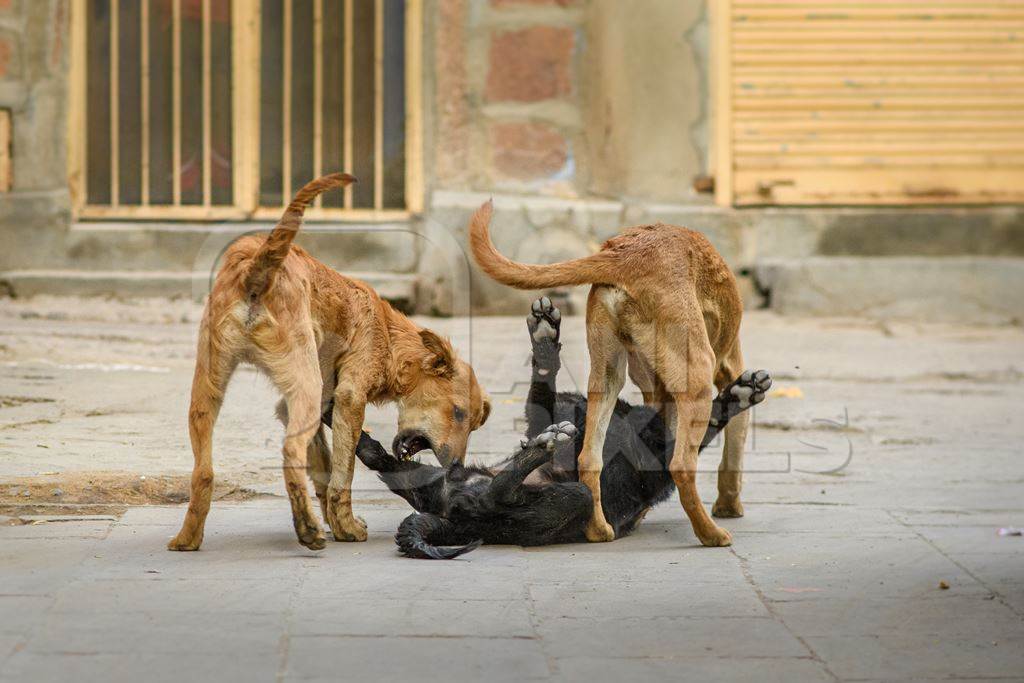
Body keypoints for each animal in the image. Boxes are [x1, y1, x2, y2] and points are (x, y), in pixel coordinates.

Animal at [166, 175, 487, 548]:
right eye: (459, 413)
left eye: (473, 423)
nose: (456, 468)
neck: (387, 332)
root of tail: (256, 268)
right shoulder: (349, 399)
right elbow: (342, 473)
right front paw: (346, 527)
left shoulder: (307, 405)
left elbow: (323, 467)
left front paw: (334, 523)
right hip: (302, 387)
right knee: (290, 453)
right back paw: (306, 529)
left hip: (208, 389)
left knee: (203, 472)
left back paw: (188, 537)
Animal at [350, 296, 770, 557]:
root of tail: (451, 521)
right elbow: (545, 390)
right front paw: (544, 338)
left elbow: (700, 424)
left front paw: (740, 393)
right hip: (447, 483)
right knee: (406, 472)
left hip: (557, 499)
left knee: (489, 494)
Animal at [468, 200, 745, 548]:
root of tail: (624, 254)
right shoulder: (729, 366)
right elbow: (734, 443)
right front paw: (729, 505)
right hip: (699, 373)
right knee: (681, 465)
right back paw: (710, 534)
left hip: (606, 375)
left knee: (589, 458)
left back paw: (599, 529)